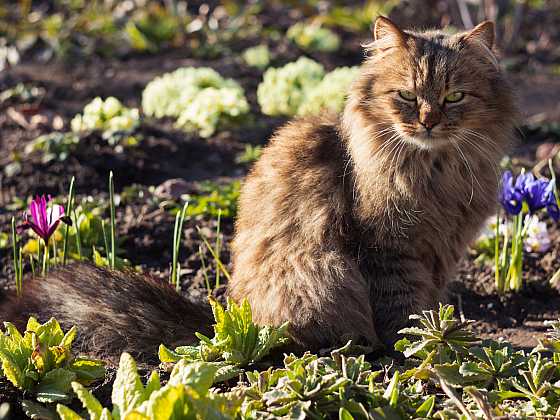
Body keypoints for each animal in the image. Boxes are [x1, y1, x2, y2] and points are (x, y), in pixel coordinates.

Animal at [0, 18, 516, 362]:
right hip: (319, 275)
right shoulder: (388, 248)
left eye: (454, 97)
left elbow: (427, 304)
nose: (428, 121)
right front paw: (418, 350)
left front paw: (438, 339)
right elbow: (402, 309)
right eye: (407, 96)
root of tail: (223, 322)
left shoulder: (442, 252)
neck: (436, 170)